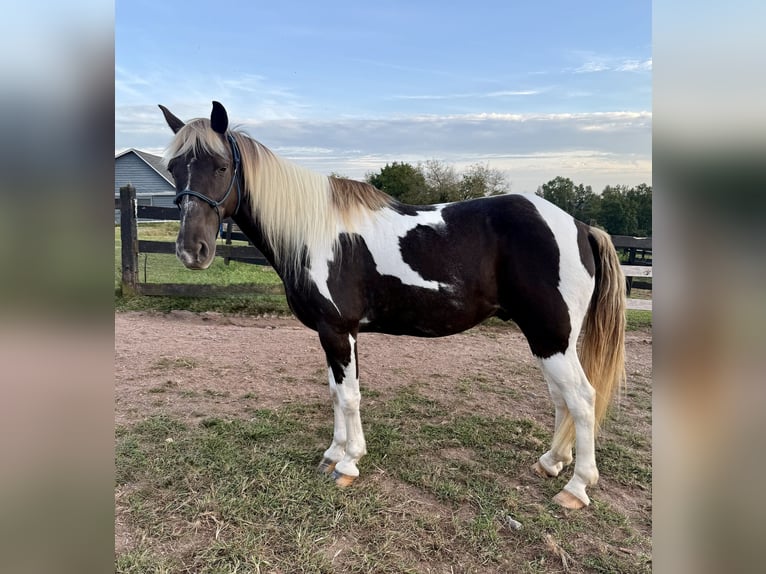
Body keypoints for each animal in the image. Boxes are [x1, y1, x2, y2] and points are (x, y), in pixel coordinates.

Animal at [159, 101, 626, 509]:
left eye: (221, 167)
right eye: (174, 169)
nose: (191, 251)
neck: (316, 234)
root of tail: (580, 226)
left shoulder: (338, 330)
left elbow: (348, 396)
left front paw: (347, 464)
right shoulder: (334, 333)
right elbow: (336, 392)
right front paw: (335, 453)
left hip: (551, 336)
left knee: (582, 398)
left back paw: (576, 488)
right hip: (549, 338)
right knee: (561, 398)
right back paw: (551, 463)